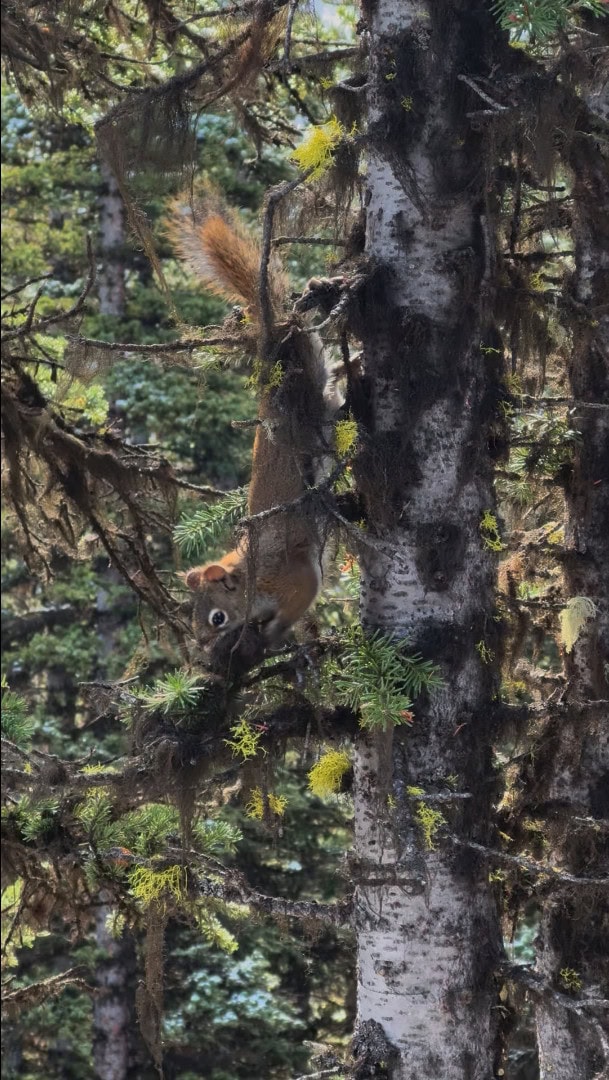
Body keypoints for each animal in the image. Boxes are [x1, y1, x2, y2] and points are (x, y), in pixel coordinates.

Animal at [168, 197, 342, 649]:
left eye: (216, 617)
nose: (202, 647)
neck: (250, 577)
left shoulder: (291, 575)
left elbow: (304, 592)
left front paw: (275, 634)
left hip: (307, 398)